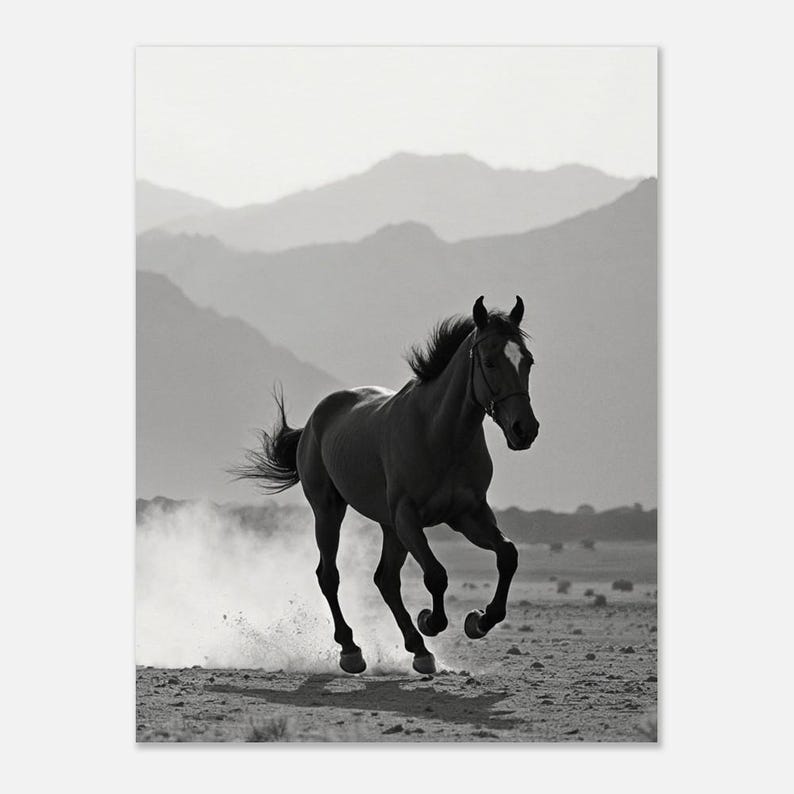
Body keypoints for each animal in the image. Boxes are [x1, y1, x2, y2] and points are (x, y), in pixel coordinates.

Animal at [234, 296, 540, 674]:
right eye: (489, 361)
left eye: (527, 361)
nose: (524, 430)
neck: (440, 434)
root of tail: (315, 418)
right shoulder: (409, 517)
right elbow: (436, 575)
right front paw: (430, 621)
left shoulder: (468, 515)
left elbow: (507, 555)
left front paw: (478, 620)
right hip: (329, 510)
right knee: (330, 575)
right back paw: (352, 650)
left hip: (388, 525)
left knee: (385, 580)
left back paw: (418, 649)